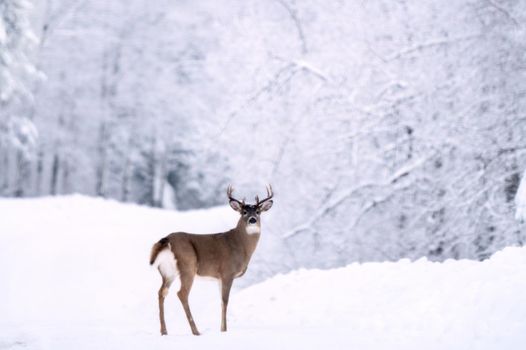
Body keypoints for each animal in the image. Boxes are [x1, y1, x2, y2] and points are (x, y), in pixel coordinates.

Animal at [147, 185, 272, 334]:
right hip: (188, 265)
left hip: (167, 271)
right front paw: (224, 330)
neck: (240, 245)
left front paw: (222, 329)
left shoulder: (219, 278)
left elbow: (221, 302)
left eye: (258, 212)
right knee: (182, 293)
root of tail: (166, 240)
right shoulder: (227, 272)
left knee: (162, 292)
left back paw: (164, 331)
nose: (252, 220)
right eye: (244, 212)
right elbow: (225, 301)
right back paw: (196, 331)